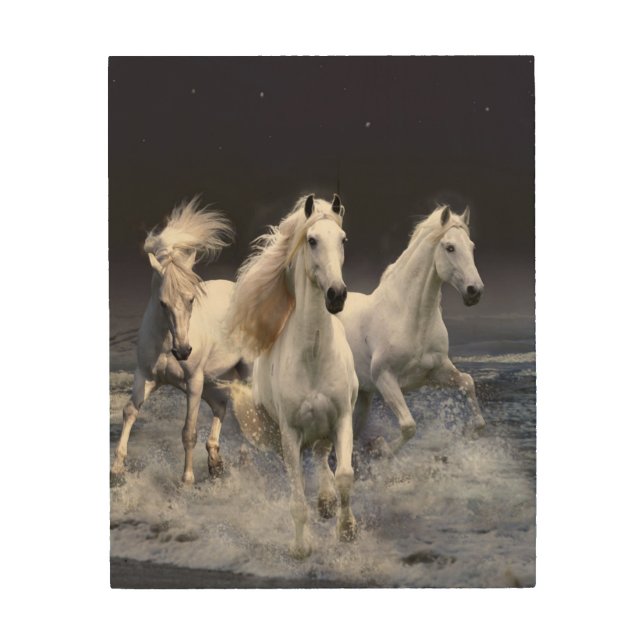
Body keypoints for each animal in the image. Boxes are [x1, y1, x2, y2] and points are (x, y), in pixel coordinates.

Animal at [110, 198, 249, 485]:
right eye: (163, 303)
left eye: (191, 299)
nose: (183, 351)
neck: (166, 343)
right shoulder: (146, 376)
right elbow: (129, 411)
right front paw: (116, 468)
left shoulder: (193, 382)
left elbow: (189, 431)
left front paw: (187, 480)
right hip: (213, 380)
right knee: (221, 406)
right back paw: (215, 462)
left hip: (242, 373)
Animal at [226, 194, 358, 558]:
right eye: (311, 240)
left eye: (343, 240)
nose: (336, 295)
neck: (313, 356)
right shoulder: (290, 434)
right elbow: (297, 499)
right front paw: (301, 548)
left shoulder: (342, 418)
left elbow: (344, 475)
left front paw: (347, 530)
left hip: (325, 427)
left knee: (323, 457)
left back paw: (327, 503)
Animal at [338, 204, 485, 456]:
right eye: (450, 247)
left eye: (472, 246)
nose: (474, 291)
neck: (412, 320)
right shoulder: (385, 378)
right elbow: (409, 426)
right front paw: (381, 447)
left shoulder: (436, 372)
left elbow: (467, 382)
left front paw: (471, 431)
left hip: (362, 397)